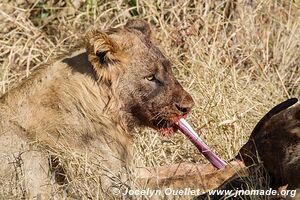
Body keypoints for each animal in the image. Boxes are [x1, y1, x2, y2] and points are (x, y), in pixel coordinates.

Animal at [0, 19, 244, 200]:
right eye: (150, 77)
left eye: (170, 69)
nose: (187, 107)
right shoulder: (107, 189)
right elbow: (181, 182)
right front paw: (233, 170)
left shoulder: (129, 171)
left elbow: (180, 169)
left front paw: (225, 165)